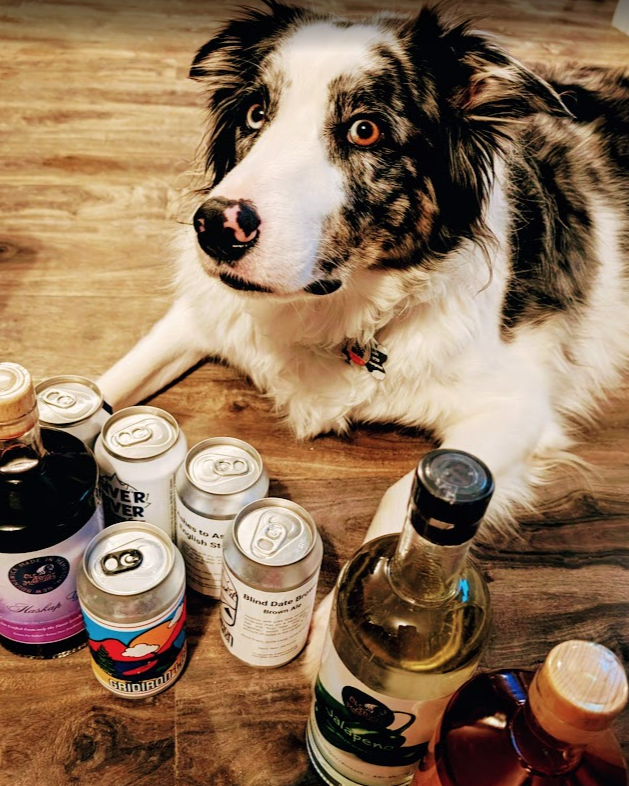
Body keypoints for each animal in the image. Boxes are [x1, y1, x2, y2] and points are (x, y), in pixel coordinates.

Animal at [98, 1, 629, 549]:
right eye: (255, 113)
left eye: (364, 130)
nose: (216, 227)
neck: (334, 310)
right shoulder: (201, 315)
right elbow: (102, 389)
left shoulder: (516, 406)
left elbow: (405, 494)